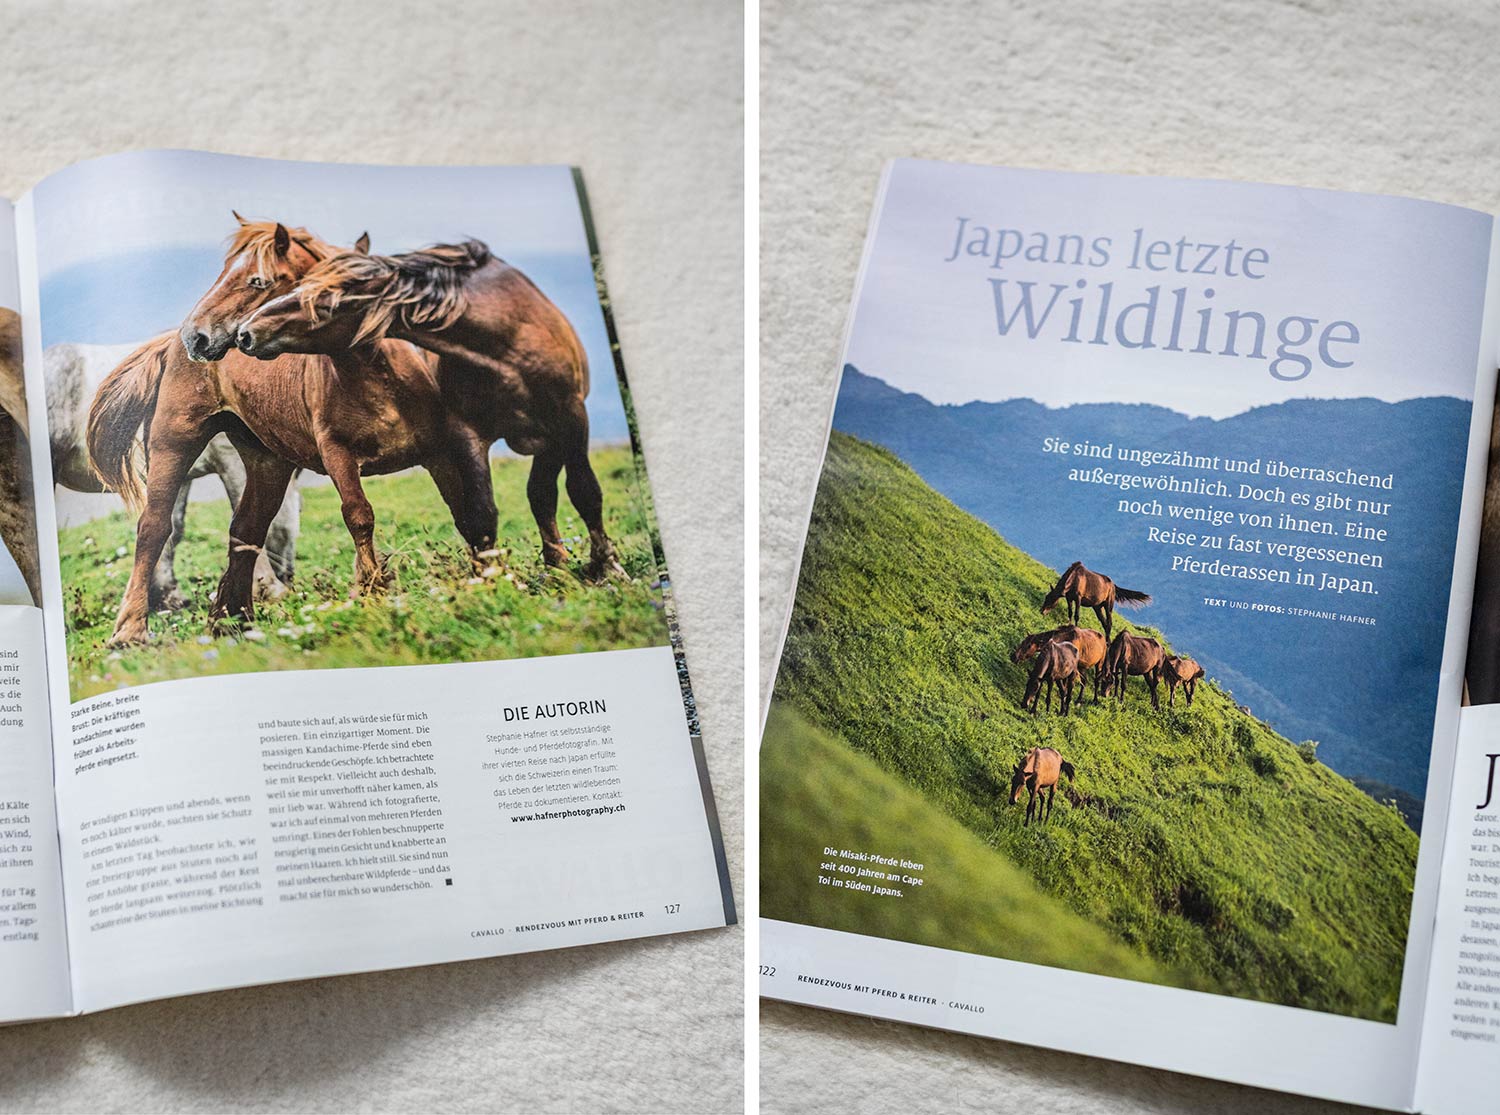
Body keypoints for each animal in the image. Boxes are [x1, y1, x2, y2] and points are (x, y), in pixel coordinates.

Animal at [46, 339, 300, 609]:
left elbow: (172, 529)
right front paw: (268, 588)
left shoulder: (180, 475)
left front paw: (167, 595)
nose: (289, 576)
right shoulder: (232, 459)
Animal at [87, 220, 498, 647]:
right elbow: (359, 516)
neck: (375, 373)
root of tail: (169, 342)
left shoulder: (438, 453)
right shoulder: (337, 455)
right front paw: (372, 592)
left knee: (246, 529)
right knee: (154, 527)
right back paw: (130, 630)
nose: (197, 337)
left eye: (257, 280)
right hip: (174, 441)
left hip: (267, 462)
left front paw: (483, 581)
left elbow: (465, 513)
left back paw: (232, 620)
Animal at [232, 239, 624, 581]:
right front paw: (490, 578)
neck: (507, 343)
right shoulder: (467, 435)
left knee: (545, 493)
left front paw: (606, 566)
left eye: (325, 303)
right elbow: (482, 512)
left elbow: (583, 491)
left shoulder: (571, 420)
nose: (245, 332)